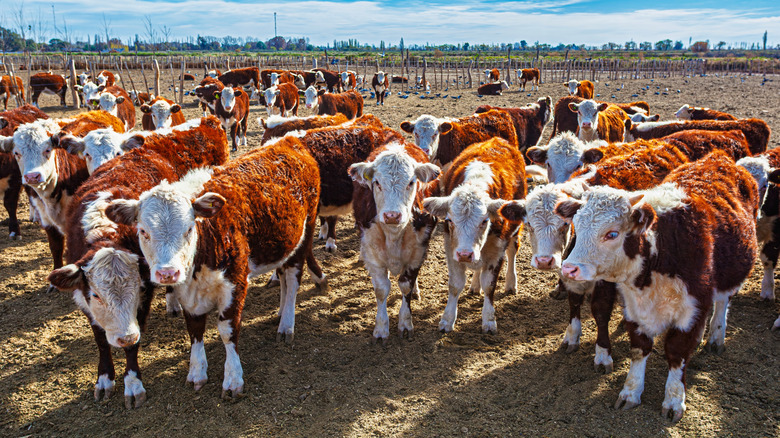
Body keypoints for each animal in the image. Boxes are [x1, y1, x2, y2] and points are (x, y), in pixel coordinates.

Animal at [47, 116, 230, 408]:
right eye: (96, 295)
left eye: (137, 289)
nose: (125, 336)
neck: (106, 231)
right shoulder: (83, 298)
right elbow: (100, 340)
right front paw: (104, 379)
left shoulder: (144, 297)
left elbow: (134, 346)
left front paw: (133, 384)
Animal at [103, 135, 327, 399]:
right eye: (143, 231)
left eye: (189, 228)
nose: (167, 273)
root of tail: (288, 140)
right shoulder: (186, 292)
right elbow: (194, 329)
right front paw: (197, 372)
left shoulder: (236, 282)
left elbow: (228, 330)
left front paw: (233, 378)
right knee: (282, 275)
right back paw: (281, 312)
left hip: (305, 233)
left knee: (292, 280)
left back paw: (286, 325)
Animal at [349, 142, 440, 342]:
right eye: (377, 182)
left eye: (411, 182)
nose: (392, 215)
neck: (394, 235)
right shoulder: (372, 251)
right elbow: (382, 289)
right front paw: (381, 329)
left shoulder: (418, 251)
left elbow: (406, 286)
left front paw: (405, 324)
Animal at [423, 137, 527, 333]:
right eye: (449, 220)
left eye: (484, 221)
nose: (465, 254)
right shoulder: (451, 248)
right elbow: (455, 285)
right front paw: (447, 319)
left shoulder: (497, 250)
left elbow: (490, 285)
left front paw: (489, 320)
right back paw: (474, 285)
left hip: (514, 229)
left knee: (512, 251)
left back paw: (511, 283)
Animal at [557, 150, 758, 422]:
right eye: (576, 224)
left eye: (612, 234)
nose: (569, 269)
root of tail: (718, 158)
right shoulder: (634, 308)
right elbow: (639, 348)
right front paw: (630, 392)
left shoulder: (693, 309)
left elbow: (677, 353)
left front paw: (673, 400)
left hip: (730, 273)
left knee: (723, 301)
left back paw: (716, 336)